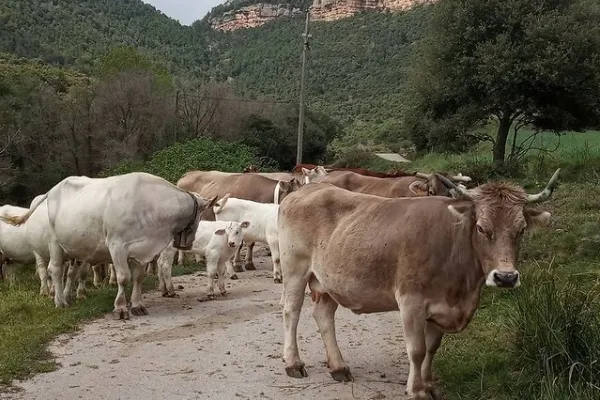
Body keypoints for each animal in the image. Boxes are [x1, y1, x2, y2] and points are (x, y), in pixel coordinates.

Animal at [0, 172, 216, 318]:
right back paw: (59, 301)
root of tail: (53, 189)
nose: (187, 244)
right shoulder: (117, 245)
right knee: (54, 270)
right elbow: (123, 277)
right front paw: (120, 307)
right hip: (54, 242)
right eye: (199, 217)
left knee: (70, 273)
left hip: (75, 248)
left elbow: (138, 277)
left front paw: (137, 305)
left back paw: (68, 297)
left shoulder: (141, 250)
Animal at [278, 169, 560, 400]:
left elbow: (432, 349)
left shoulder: (441, 308)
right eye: (481, 228)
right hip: (295, 269)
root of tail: (306, 189)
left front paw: (428, 385)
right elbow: (417, 350)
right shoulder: (411, 302)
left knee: (323, 316)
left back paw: (339, 367)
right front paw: (415, 390)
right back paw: (293, 363)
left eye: (521, 230)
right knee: (291, 312)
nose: (506, 277)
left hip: (329, 281)